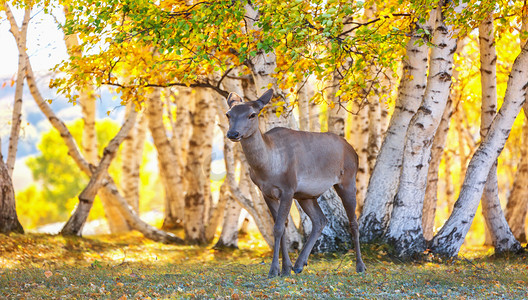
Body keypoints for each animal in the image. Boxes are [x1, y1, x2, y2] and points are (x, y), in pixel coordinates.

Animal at [224, 88, 368, 278]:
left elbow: (278, 228)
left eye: (252, 114)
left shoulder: (288, 188)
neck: (268, 168)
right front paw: (285, 268)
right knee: (320, 220)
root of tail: (353, 151)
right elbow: (283, 228)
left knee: (353, 222)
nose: (233, 134)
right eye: (228, 114)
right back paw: (299, 264)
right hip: (306, 195)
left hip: (347, 180)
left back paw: (360, 266)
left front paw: (274, 270)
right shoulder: (266, 192)